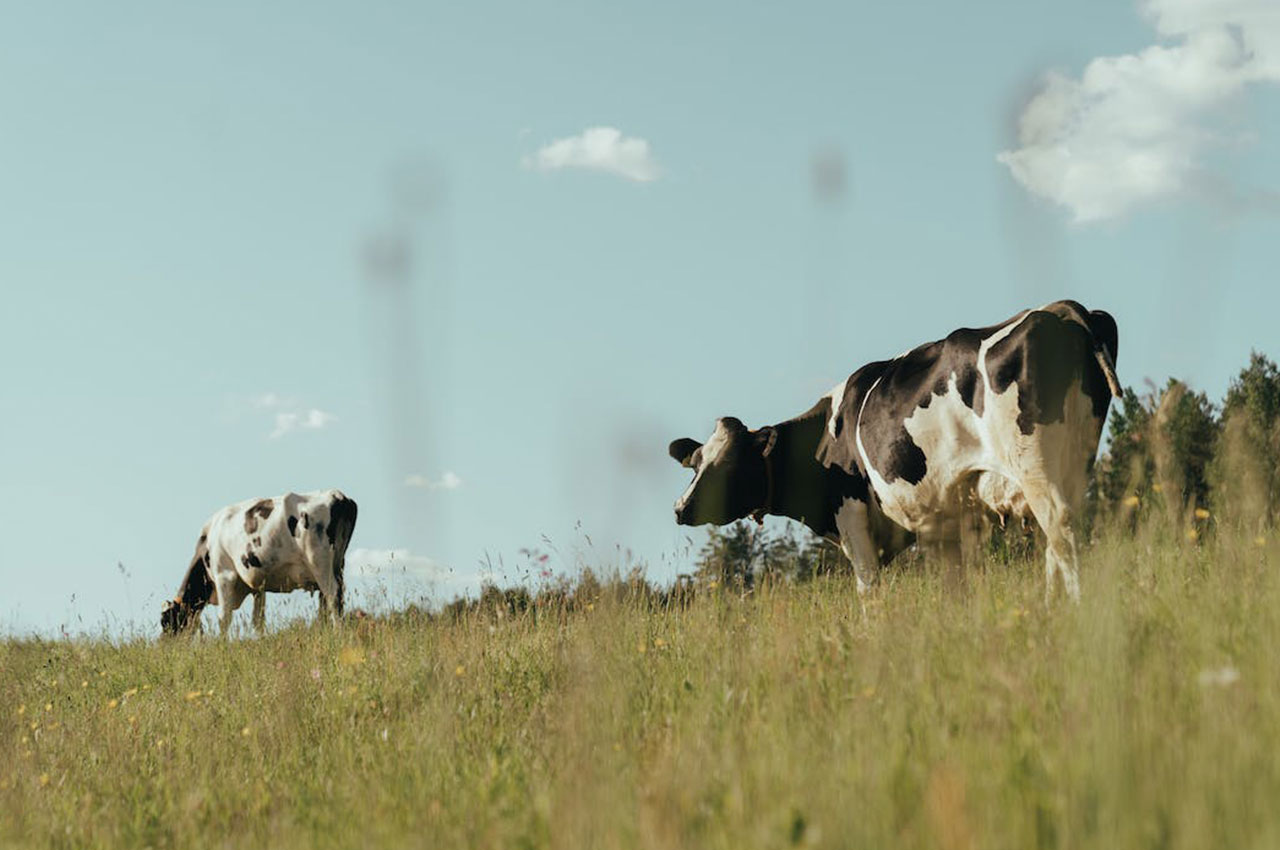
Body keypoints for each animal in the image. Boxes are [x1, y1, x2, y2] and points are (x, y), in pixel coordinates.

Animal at [162, 489, 360, 634]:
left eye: (166, 622)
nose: (164, 645)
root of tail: (337, 495)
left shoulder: (224, 576)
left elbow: (224, 618)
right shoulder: (258, 586)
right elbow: (258, 620)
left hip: (320, 564)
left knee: (332, 596)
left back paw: (338, 633)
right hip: (337, 565)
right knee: (330, 600)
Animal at [670, 302, 1121, 601]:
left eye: (728, 465)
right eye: (695, 464)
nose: (680, 508)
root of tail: (1064, 311)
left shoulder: (851, 515)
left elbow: (868, 589)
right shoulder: (946, 521)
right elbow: (955, 586)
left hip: (1036, 466)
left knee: (1061, 529)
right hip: (1074, 459)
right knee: (1058, 538)